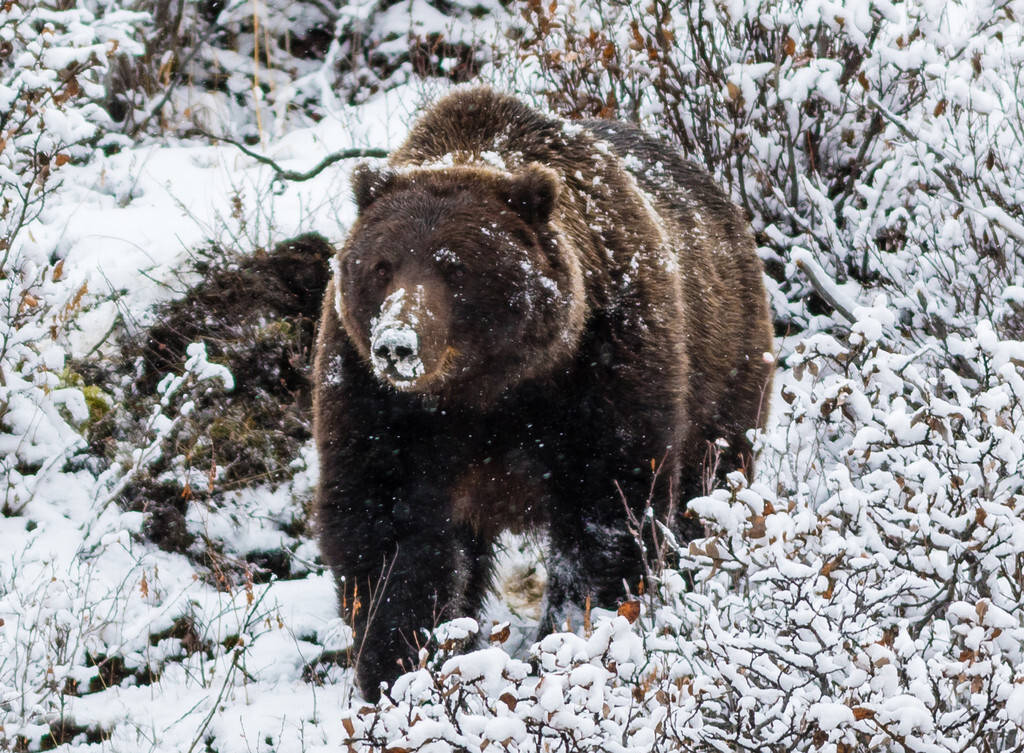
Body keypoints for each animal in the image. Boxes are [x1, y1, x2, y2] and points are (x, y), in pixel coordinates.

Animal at [315, 87, 770, 700]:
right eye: (382, 266)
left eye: (454, 268)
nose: (396, 344)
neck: (486, 392)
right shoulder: (376, 402)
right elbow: (389, 531)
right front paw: (403, 665)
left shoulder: (604, 365)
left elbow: (608, 512)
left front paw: (576, 638)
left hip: (726, 368)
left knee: (712, 484)